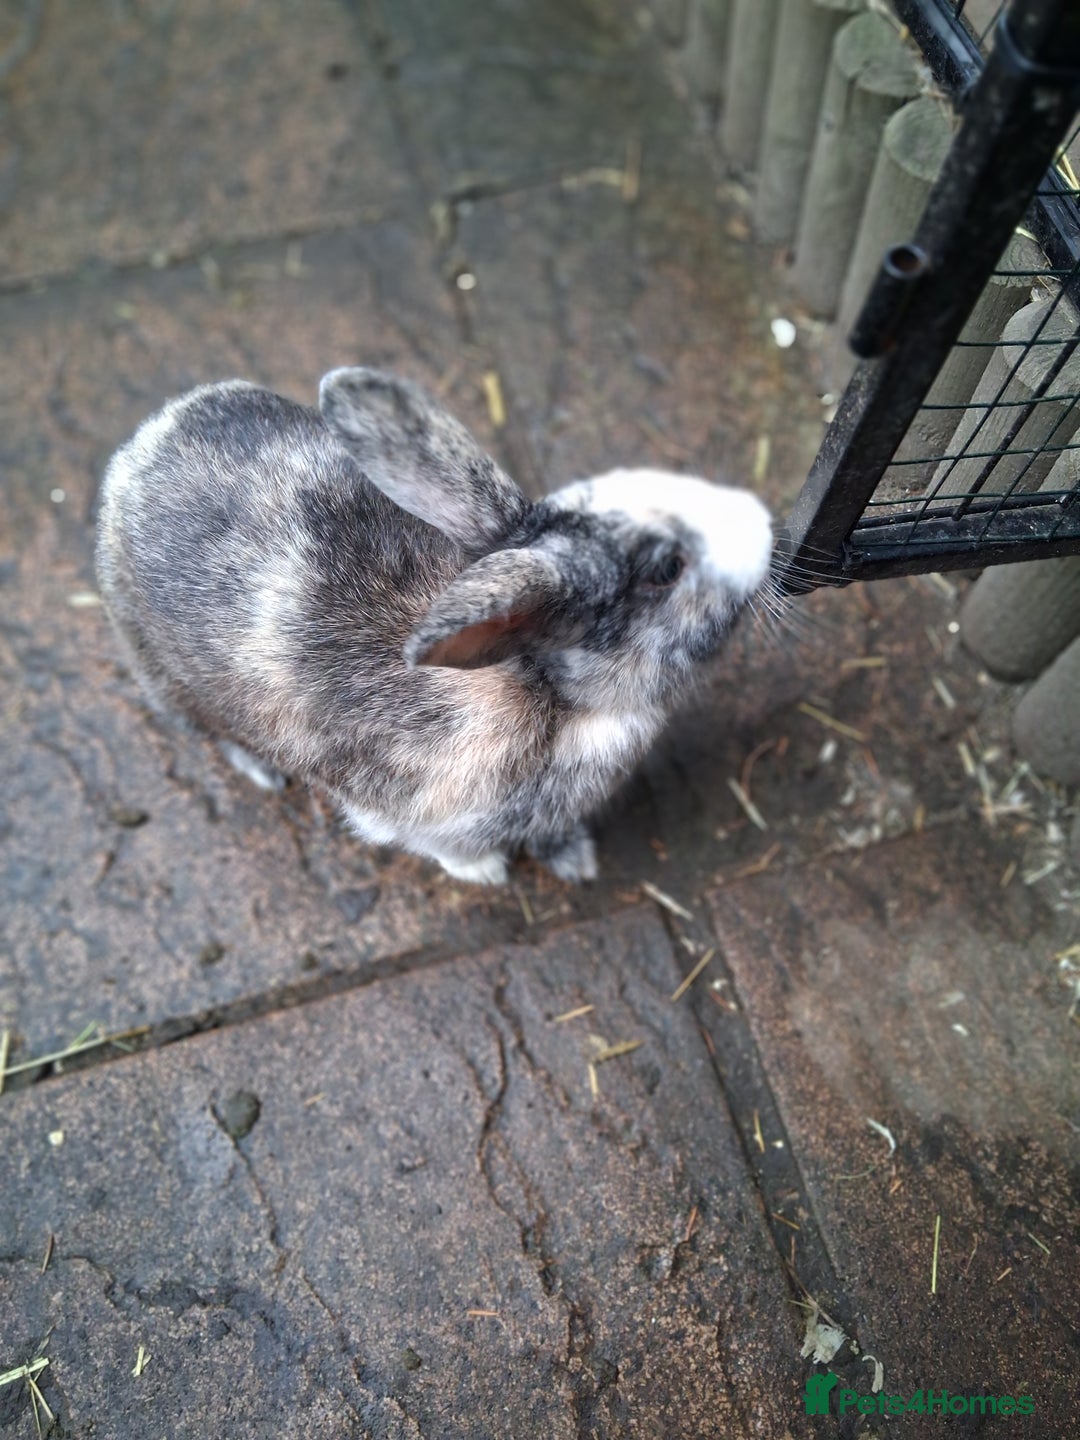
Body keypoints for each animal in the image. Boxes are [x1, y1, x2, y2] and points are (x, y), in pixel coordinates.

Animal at [96, 368, 773, 885]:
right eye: (668, 567)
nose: (765, 526)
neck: (552, 693)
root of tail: (140, 450)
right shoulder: (418, 815)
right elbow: (446, 848)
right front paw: (489, 875)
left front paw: (574, 861)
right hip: (163, 674)